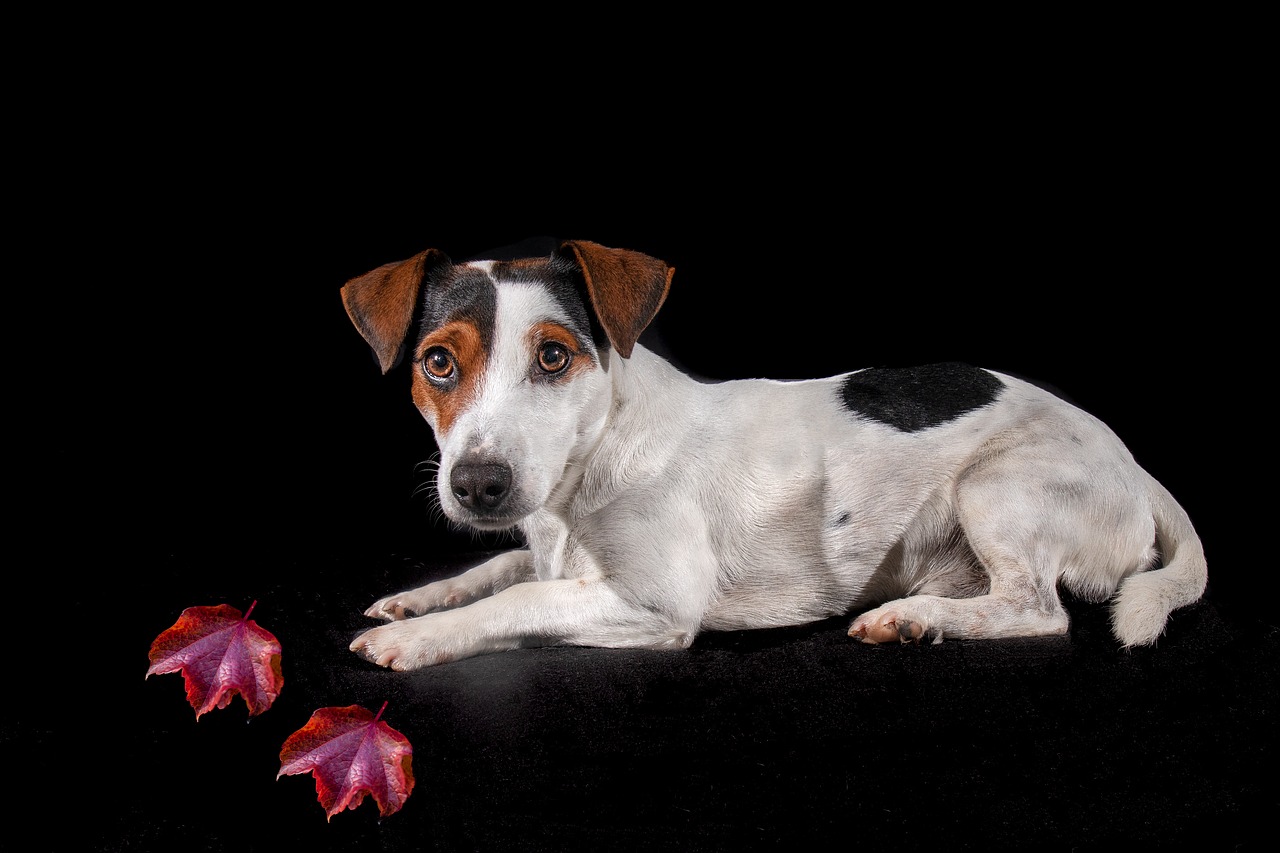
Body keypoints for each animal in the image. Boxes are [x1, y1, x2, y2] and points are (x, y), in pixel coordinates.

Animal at [340, 236, 1208, 666]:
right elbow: (500, 565)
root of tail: (1136, 465)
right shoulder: (548, 545)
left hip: (995, 486)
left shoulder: (656, 603)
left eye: (554, 356)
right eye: (438, 363)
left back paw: (913, 618)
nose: (477, 485)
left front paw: (412, 638)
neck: (595, 454)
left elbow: (516, 599)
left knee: (1038, 609)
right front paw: (417, 598)